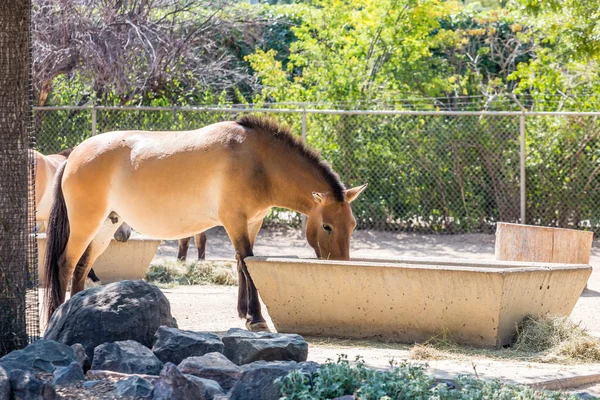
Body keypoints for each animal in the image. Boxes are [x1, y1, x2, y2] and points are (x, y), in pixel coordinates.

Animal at [44, 114, 366, 330]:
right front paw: (256, 318)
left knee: (81, 267)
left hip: (105, 227)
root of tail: (74, 155)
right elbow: (247, 262)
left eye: (352, 225)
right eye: (327, 226)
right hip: (85, 224)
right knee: (66, 264)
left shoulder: (252, 223)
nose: (341, 264)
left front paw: (244, 313)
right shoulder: (235, 222)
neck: (258, 162)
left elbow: (242, 264)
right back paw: (55, 317)